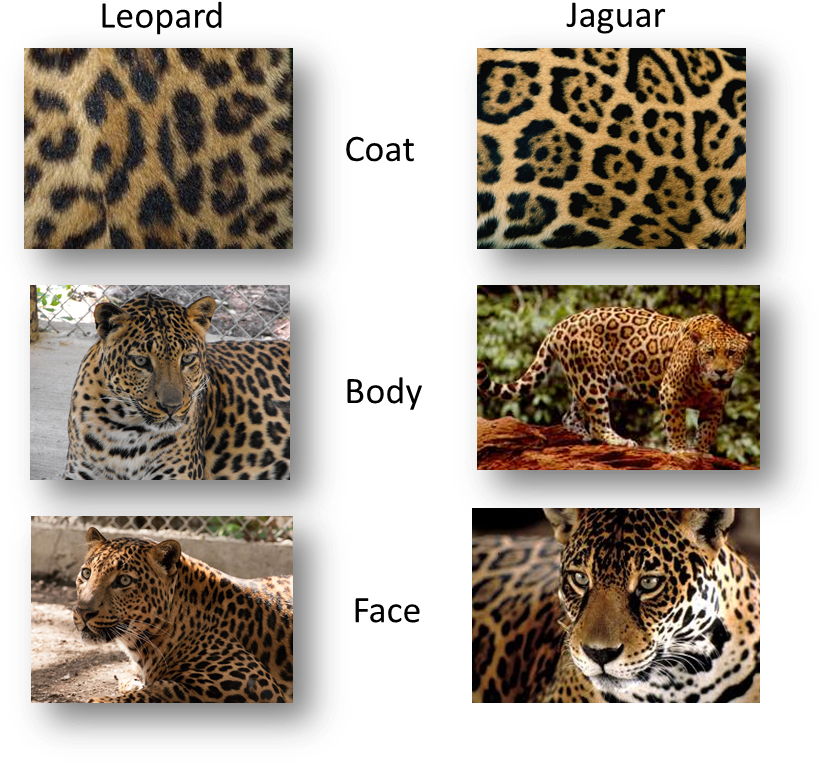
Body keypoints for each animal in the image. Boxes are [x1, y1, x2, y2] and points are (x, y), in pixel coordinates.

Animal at [74, 527, 293, 702]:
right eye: (86, 573)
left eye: (124, 580)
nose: (83, 611)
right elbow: (129, 674)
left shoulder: (254, 685)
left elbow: (164, 689)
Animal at [477, 306, 754, 454]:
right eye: (710, 353)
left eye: (732, 353)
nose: (720, 372)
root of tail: (560, 325)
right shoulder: (670, 392)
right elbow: (676, 425)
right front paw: (679, 451)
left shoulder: (714, 405)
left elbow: (707, 431)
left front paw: (701, 453)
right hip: (591, 380)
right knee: (598, 422)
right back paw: (619, 440)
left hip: (585, 381)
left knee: (570, 416)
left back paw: (585, 436)